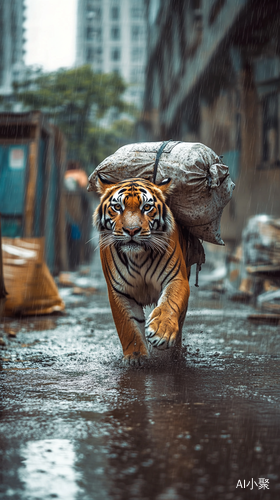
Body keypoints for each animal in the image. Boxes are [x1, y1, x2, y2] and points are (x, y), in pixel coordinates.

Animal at [94, 174, 192, 366]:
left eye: (146, 207)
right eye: (117, 207)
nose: (132, 230)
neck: (138, 256)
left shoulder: (176, 278)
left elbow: (170, 302)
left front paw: (162, 332)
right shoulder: (119, 291)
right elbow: (128, 324)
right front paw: (135, 357)